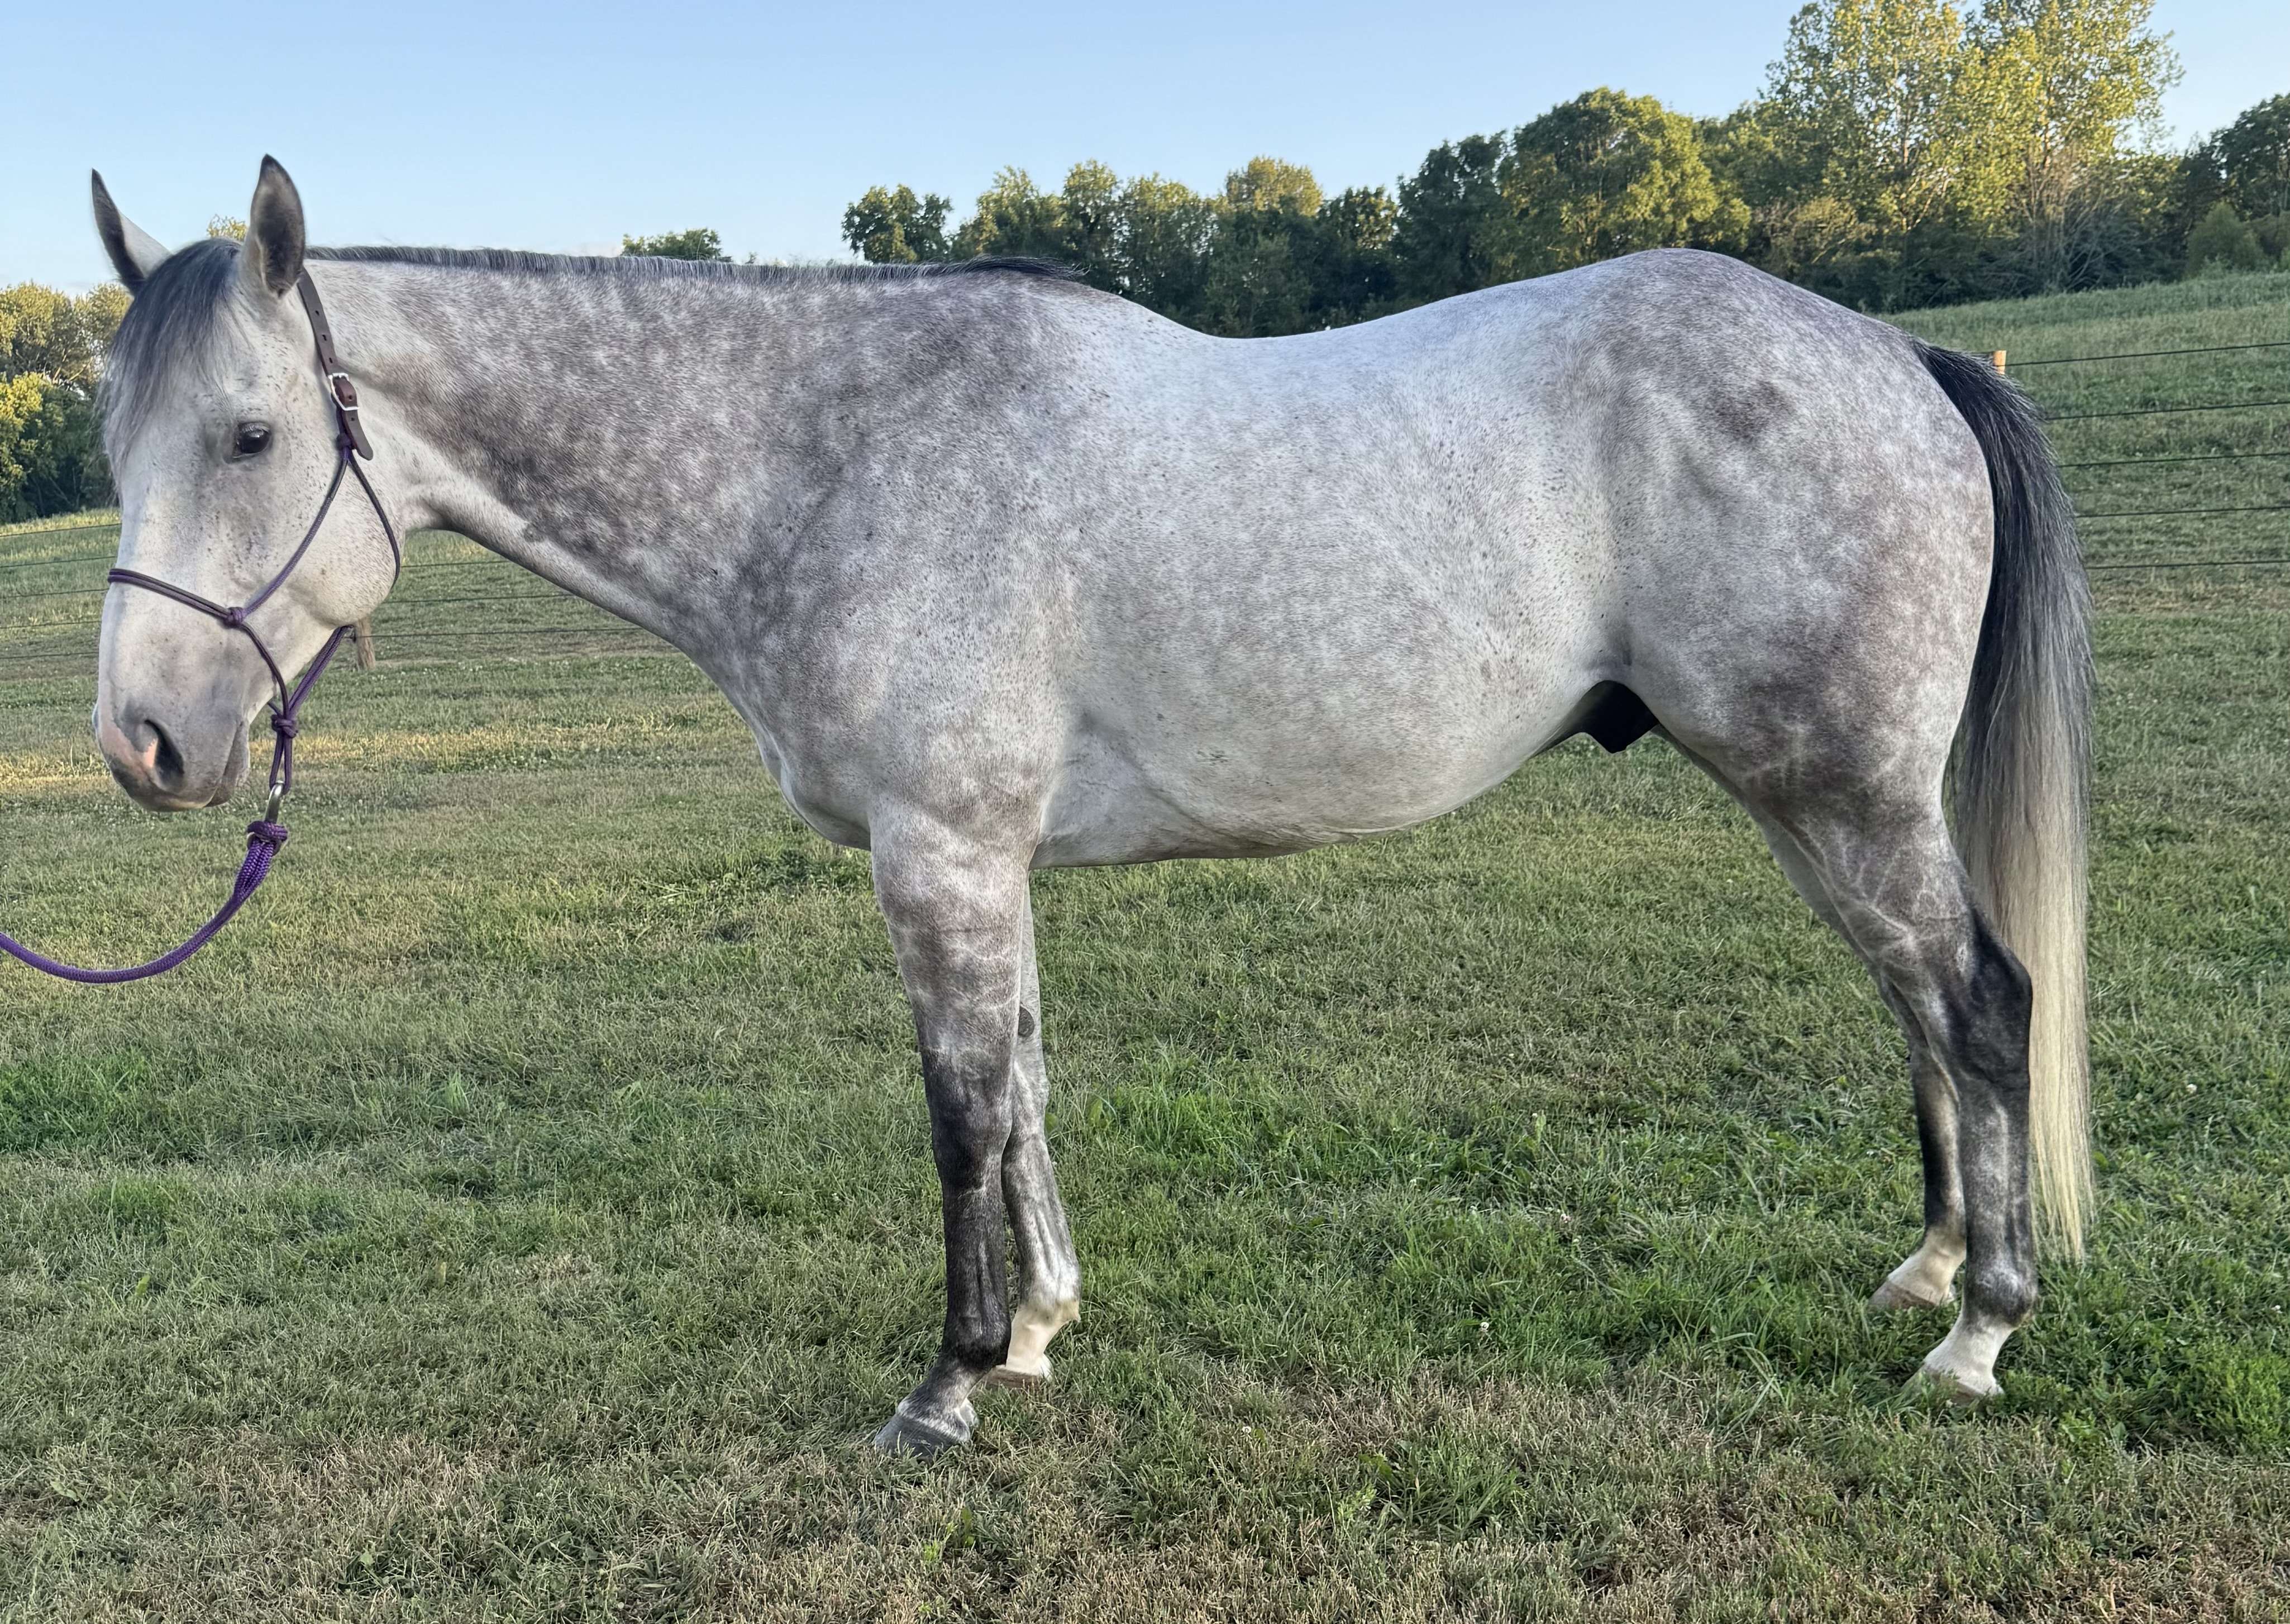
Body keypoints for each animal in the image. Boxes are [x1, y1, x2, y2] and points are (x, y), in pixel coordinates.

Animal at [83, 158, 2089, 1456]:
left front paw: (951, 1380)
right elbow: (1031, 1081)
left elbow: (966, 1112)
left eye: (251, 435)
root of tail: (1900, 355)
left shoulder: (938, 853)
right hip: (1815, 800)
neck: (829, 462)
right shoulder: (989, 862)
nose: (143, 741)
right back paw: (1925, 1268)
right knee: (1916, 1013)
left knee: (1982, 1004)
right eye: (107, 443)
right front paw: (1043, 1327)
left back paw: (1980, 1331)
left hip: (1840, 793)